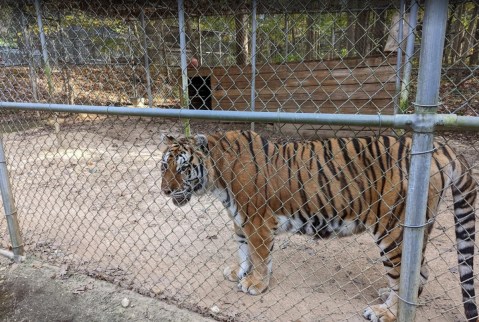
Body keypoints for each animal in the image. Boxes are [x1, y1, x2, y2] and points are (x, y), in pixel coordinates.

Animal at [160, 131, 476, 322]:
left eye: (184, 168)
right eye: (164, 166)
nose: (165, 191)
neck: (216, 177)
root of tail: (440, 148)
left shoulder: (257, 220)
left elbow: (260, 256)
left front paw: (256, 284)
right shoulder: (241, 220)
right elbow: (242, 250)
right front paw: (239, 271)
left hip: (392, 230)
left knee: (408, 273)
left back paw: (385, 312)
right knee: (419, 272)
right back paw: (386, 298)